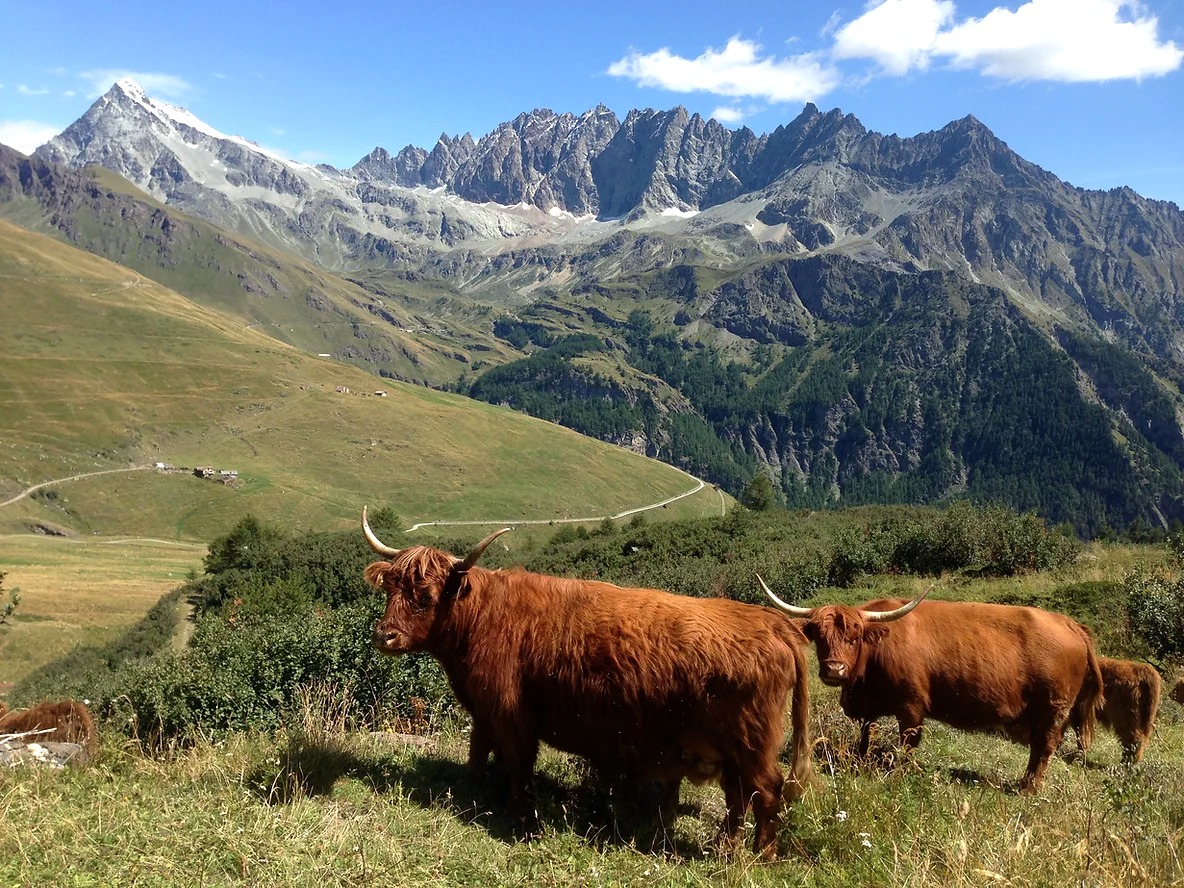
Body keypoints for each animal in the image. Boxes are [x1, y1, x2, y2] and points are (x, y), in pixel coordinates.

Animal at [361, 507, 812, 857]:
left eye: (426, 597)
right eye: (391, 590)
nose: (384, 636)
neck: (481, 619)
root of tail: (774, 623)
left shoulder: (512, 714)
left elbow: (518, 766)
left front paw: (516, 815)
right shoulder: (486, 710)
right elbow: (478, 752)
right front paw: (471, 792)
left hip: (751, 741)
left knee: (766, 791)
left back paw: (761, 854)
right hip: (733, 749)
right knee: (739, 796)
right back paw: (725, 846)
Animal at [758, 578, 1103, 793]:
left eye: (854, 638)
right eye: (819, 637)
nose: (834, 669)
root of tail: (1070, 623)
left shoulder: (911, 707)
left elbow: (907, 744)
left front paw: (899, 775)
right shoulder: (868, 706)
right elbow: (866, 735)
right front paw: (859, 762)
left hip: (1054, 708)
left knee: (1044, 747)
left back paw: (1027, 788)